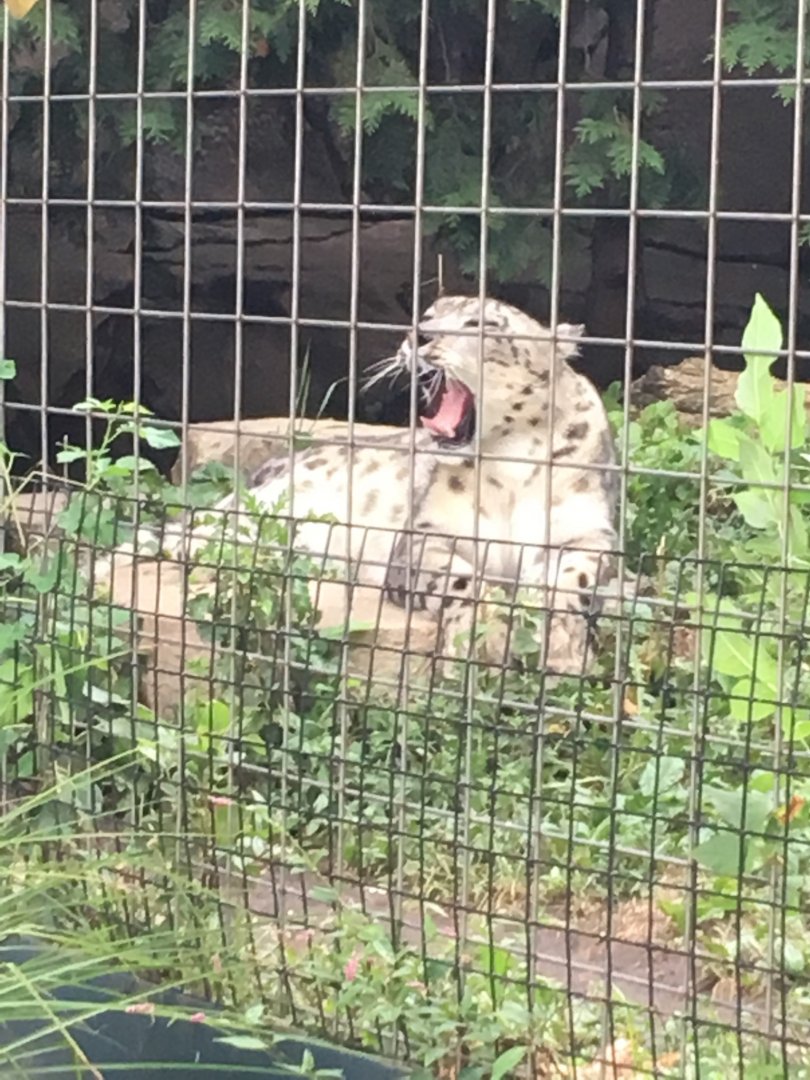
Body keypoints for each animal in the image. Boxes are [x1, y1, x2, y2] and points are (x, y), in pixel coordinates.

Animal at [108, 295, 619, 676]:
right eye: (428, 315)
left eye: (483, 323)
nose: (419, 335)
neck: (512, 462)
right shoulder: (426, 534)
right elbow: (459, 578)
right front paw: (483, 637)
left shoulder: (589, 531)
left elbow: (573, 576)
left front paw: (561, 644)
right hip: (251, 516)